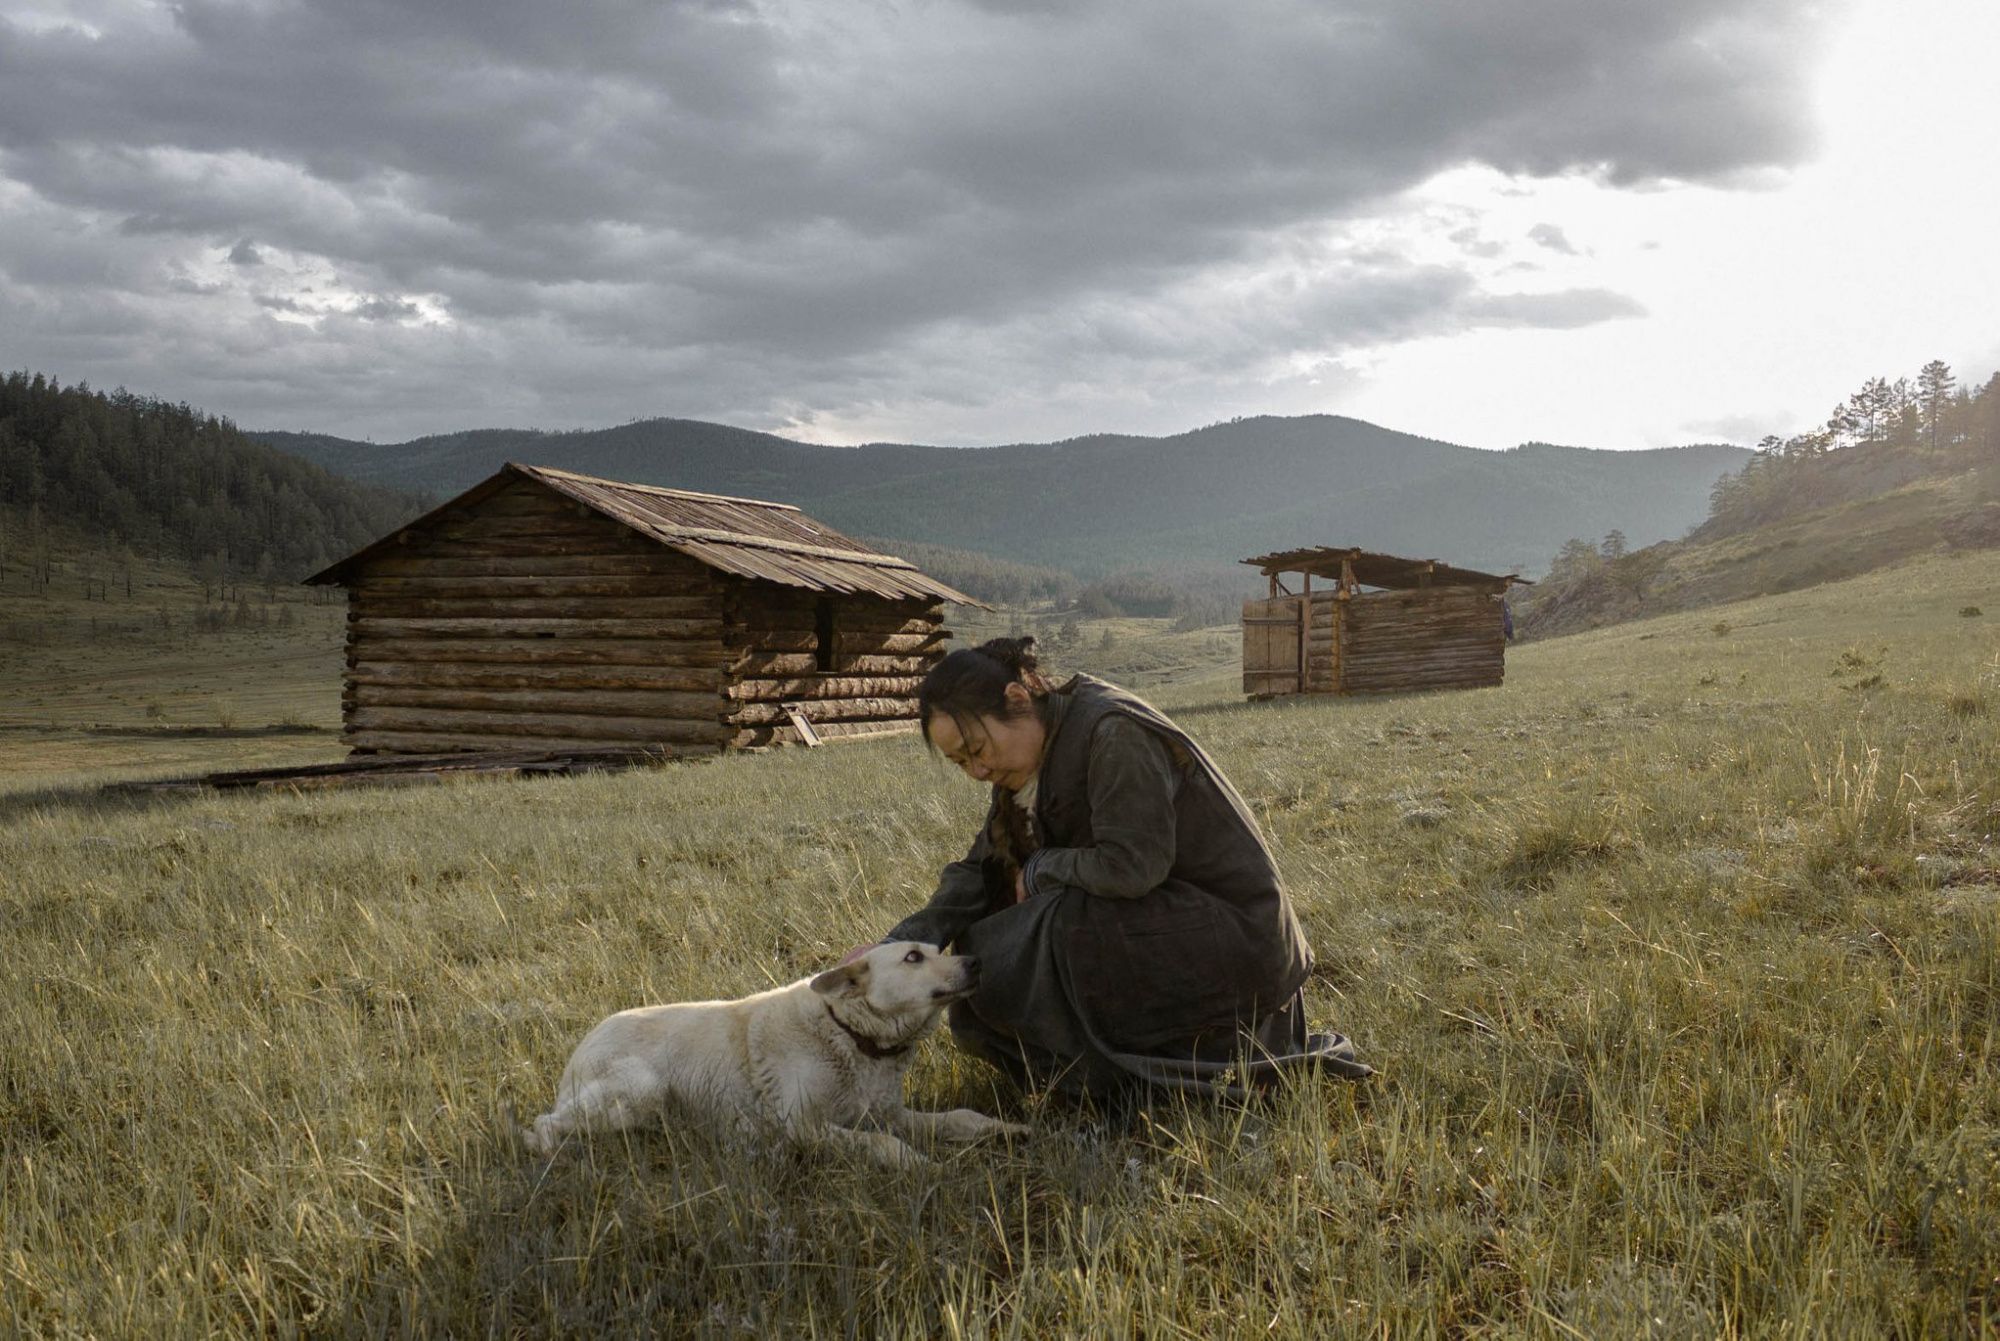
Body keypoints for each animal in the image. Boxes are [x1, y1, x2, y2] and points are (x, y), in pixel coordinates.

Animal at [528, 944, 1032, 1168]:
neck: (848, 1033)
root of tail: (579, 1049)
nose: (976, 961)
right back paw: (556, 1154)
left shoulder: (888, 1113)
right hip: (639, 1089)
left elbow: (962, 1118)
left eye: (936, 949)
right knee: (541, 1124)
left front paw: (1009, 1130)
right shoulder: (803, 1126)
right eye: (913, 957)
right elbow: (885, 1145)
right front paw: (924, 1167)